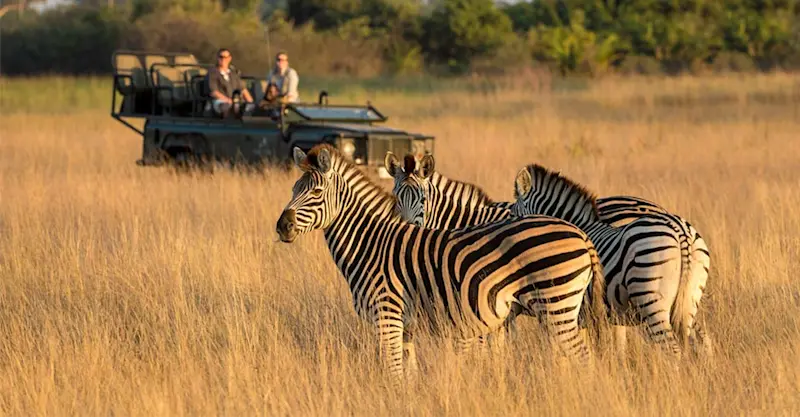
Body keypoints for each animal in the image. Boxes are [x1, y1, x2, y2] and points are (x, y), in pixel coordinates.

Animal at [275, 144, 607, 382]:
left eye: (316, 192)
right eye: (293, 190)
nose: (282, 227)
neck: (370, 243)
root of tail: (580, 233)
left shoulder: (387, 316)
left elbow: (392, 374)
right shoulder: (406, 327)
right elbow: (406, 375)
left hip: (557, 306)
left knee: (584, 360)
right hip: (566, 308)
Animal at [385, 152, 712, 358]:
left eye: (423, 199)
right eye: (395, 198)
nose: (409, 227)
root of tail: (680, 228)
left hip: (651, 298)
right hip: (686, 300)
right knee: (700, 339)